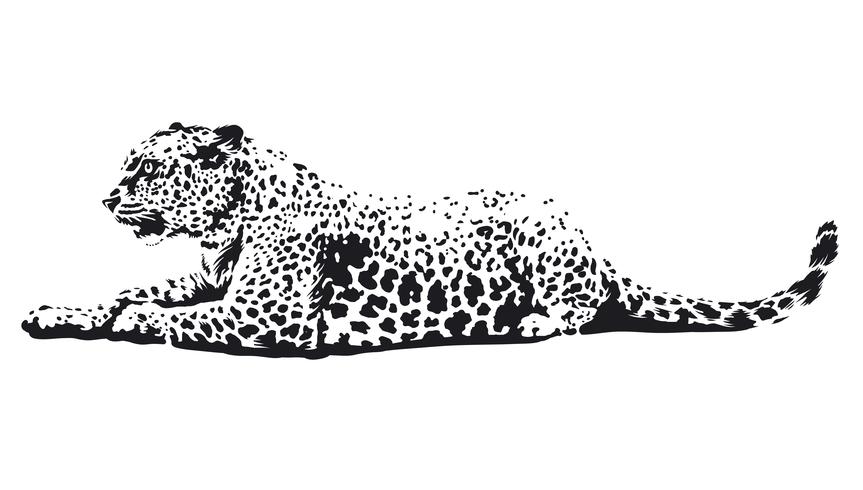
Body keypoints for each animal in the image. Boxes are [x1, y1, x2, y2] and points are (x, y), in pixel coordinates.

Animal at [22, 122, 839, 358]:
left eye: (146, 168)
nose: (105, 198)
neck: (228, 225)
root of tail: (595, 243)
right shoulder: (207, 280)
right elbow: (126, 291)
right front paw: (58, 312)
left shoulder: (263, 316)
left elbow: (163, 315)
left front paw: (127, 321)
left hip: (544, 241)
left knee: (581, 308)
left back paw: (530, 321)